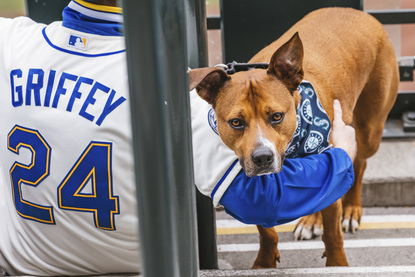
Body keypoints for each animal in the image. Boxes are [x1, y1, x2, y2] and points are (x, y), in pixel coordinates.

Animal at [189, 8, 400, 268]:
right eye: (236, 122)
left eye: (277, 116)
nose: (262, 158)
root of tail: (356, 12)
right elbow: (265, 229)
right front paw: (265, 260)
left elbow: (333, 234)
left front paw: (337, 264)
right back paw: (312, 221)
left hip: (370, 130)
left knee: (359, 162)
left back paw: (351, 209)